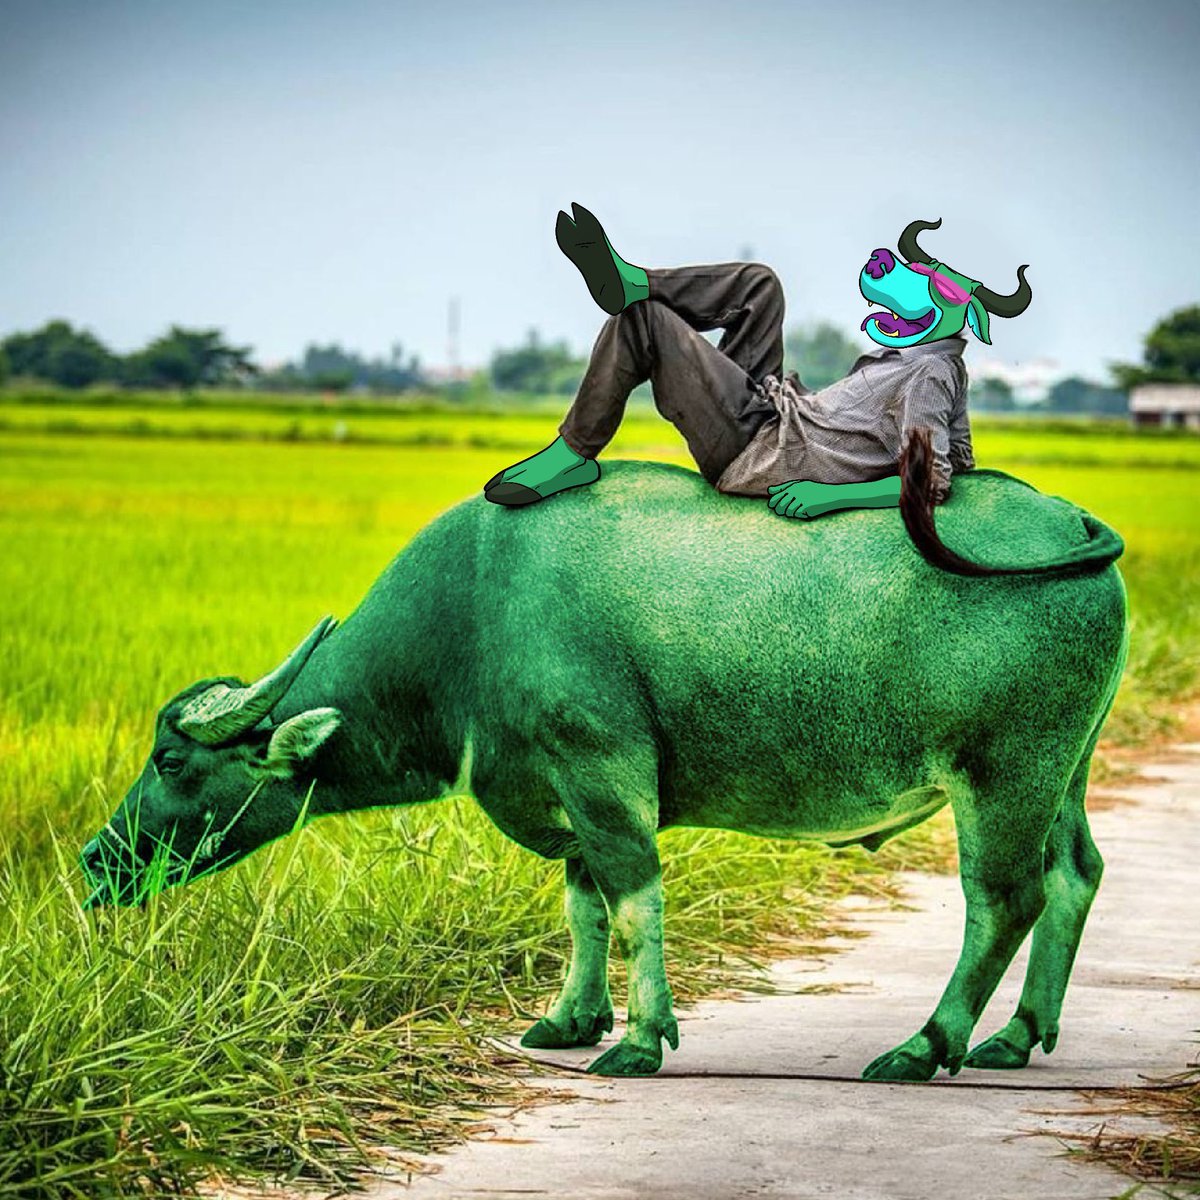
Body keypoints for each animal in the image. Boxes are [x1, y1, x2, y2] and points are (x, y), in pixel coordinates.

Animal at [80, 443, 1128, 1081]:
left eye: (171, 761)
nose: (94, 859)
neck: (470, 618)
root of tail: (1073, 522)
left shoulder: (602, 772)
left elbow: (631, 901)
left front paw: (639, 1039)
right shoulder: (563, 790)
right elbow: (582, 903)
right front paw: (569, 1019)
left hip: (1005, 773)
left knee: (1004, 899)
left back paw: (925, 1045)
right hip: (1065, 771)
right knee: (1076, 874)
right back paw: (1017, 1035)